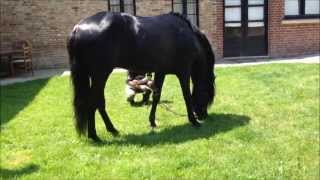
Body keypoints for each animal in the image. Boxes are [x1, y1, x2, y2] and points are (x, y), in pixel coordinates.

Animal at [68, 11, 218, 141]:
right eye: (207, 94)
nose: (203, 115)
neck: (186, 34)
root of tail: (78, 28)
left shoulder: (161, 72)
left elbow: (156, 96)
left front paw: (152, 121)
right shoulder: (183, 71)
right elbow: (187, 96)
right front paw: (193, 121)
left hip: (97, 76)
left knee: (99, 102)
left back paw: (112, 130)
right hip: (100, 74)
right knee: (93, 102)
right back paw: (94, 135)